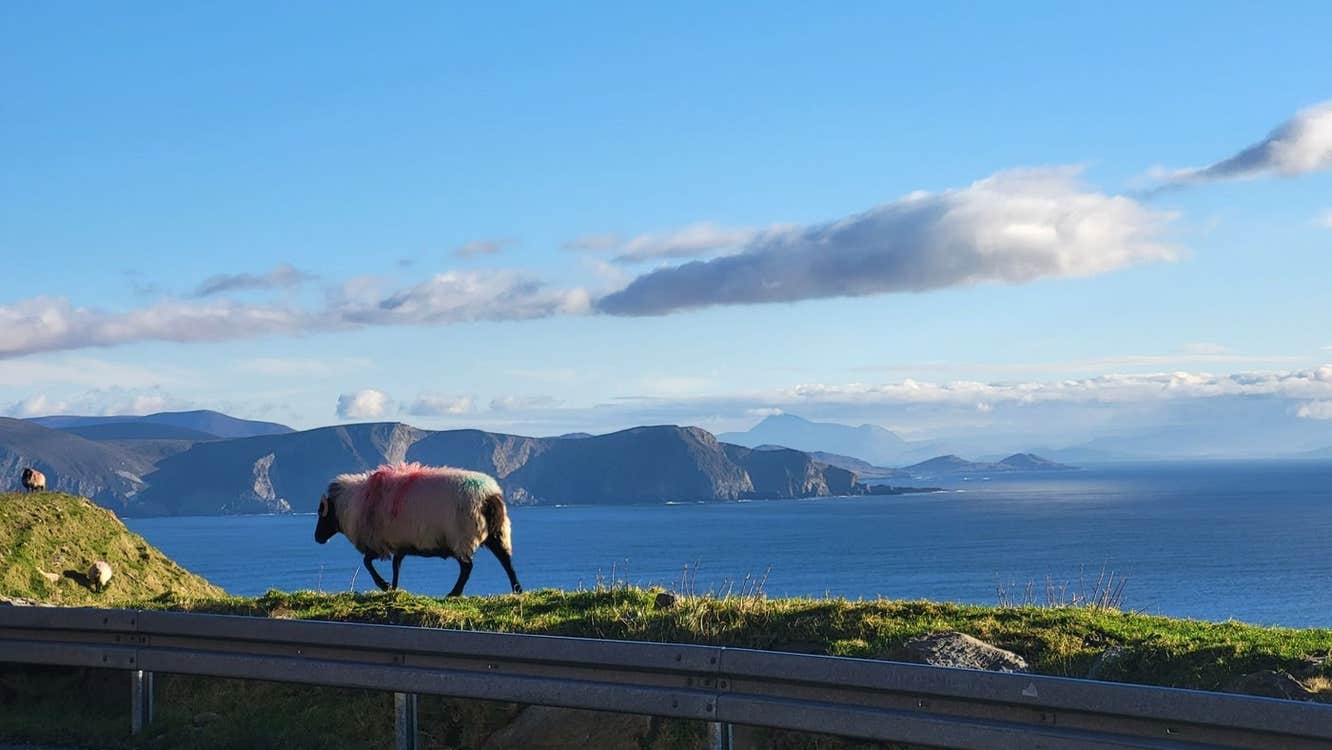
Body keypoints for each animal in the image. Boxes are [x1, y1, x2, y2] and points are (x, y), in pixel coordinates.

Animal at [314, 462, 521, 597]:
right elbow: (396, 566)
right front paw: (393, 588)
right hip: (498, 533)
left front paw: (385, 585)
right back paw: (517, 589)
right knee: (506, 561)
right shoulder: (399, 543)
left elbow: (367, 563)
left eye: (321, 513)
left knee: (467, 567)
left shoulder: (378, 543)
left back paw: (454, 593)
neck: (351, 504)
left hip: (461, 537)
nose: (317, 538)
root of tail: (489, 496)